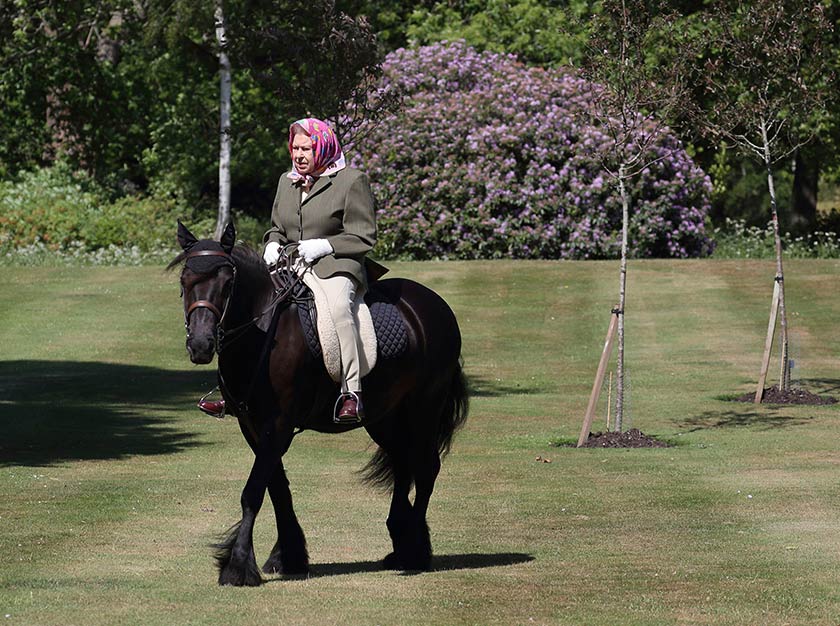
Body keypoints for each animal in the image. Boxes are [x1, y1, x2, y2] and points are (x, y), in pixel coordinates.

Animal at [169, 221, 469, 586]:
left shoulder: (278, 425)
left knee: (425, 469)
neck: (262, 331)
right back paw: (400, 543)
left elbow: (253, 491)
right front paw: (288, 556)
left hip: (423, 408)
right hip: (384, 416)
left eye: (228, 283)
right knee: (403, 464)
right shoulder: (252, 425)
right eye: (184, 281)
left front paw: (238, 566)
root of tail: (434, 305)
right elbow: (277, 488)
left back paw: (415, 552)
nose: (201, 345)